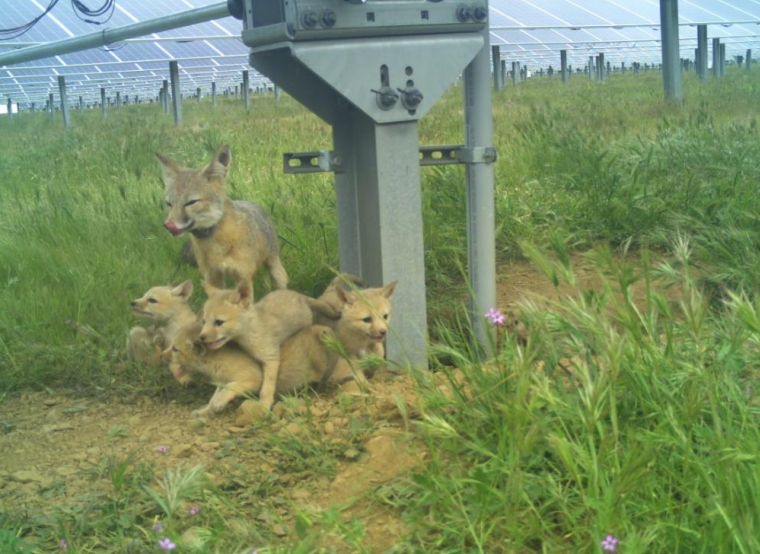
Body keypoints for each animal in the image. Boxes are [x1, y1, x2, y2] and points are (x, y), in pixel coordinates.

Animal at [155, 144, 288, 297]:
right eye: (169, 204)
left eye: (191, 202)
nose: (168, 225)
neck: (216, 244)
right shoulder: (212, 276)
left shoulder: (242, 276)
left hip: (275, 270)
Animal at [167, 321, 337, 417]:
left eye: (175, 349)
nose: (163, 356)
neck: (211, 363)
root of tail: (320, 328)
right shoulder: (221, 382)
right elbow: (213, 398)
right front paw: (204, 411)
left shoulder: (253, 378)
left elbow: (230, 388)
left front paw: (218, 403)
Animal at [198, 280, 341, 410]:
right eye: (204, 321)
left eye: (219, 322)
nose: (201, 337)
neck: (249, 334)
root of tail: (297, 294)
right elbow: (223, 385)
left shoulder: (270, 358)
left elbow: (265, 388)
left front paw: (265, 405)